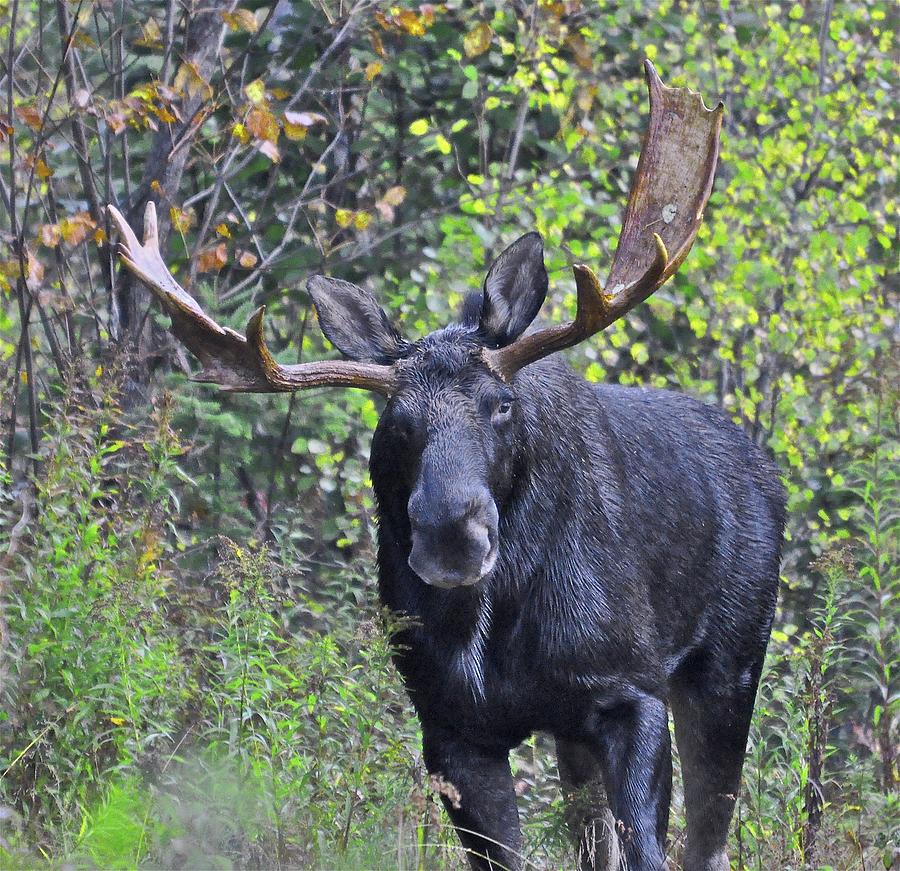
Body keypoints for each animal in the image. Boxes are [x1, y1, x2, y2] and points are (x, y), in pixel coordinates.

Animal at [109, 64, 784, 871]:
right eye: (395, 423)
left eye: (500, 404)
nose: (451, 535)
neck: (496, 629)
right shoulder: (452, 725)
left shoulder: (632, 689)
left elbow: (654, 851)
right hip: (578, 735)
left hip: (729, 666)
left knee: (706, 837)